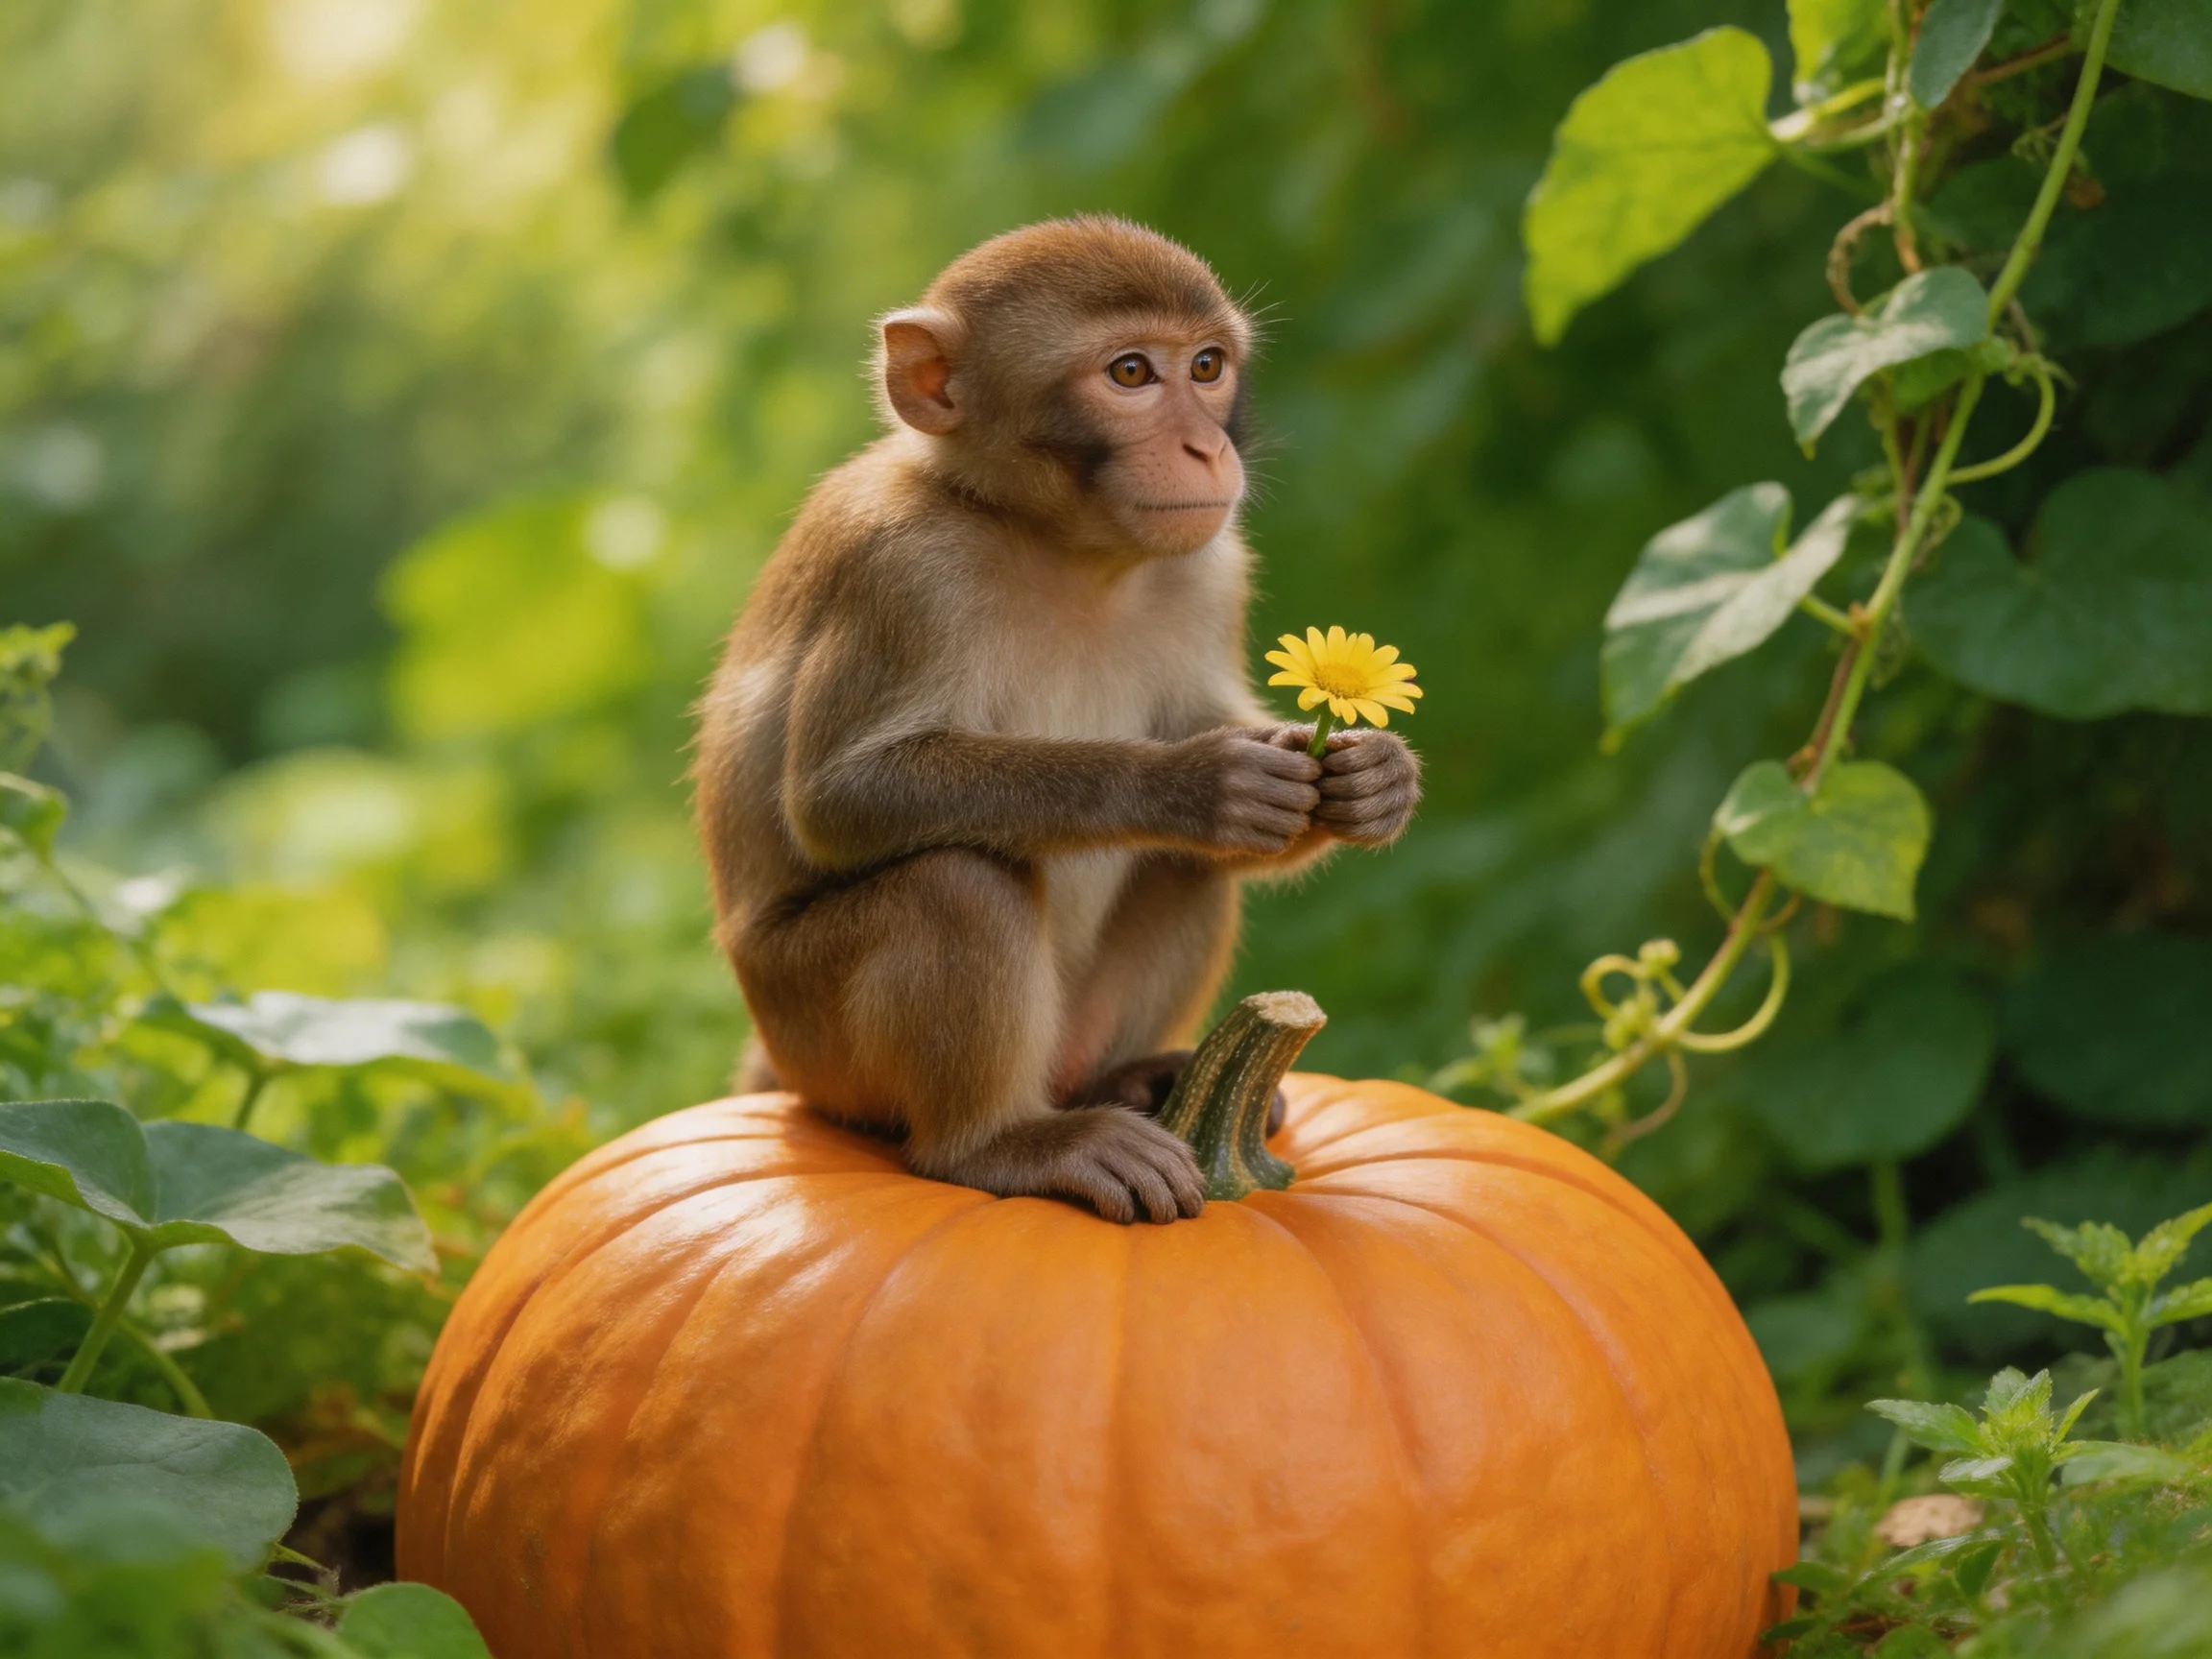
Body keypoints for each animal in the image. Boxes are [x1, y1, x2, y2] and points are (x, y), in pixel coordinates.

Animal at [692, 216, 1421, 1224]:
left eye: (1206, 367)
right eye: (1130, 374)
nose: (1206, 449)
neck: (1062, 550)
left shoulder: (1210, 568)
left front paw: (1372, 780)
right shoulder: (901, 571)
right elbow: (840, 799)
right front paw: (1194, 783)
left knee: (1185, 873)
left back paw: (1136, 1082)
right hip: (815, 1042)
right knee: (953, 882)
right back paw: (1005, 1143)